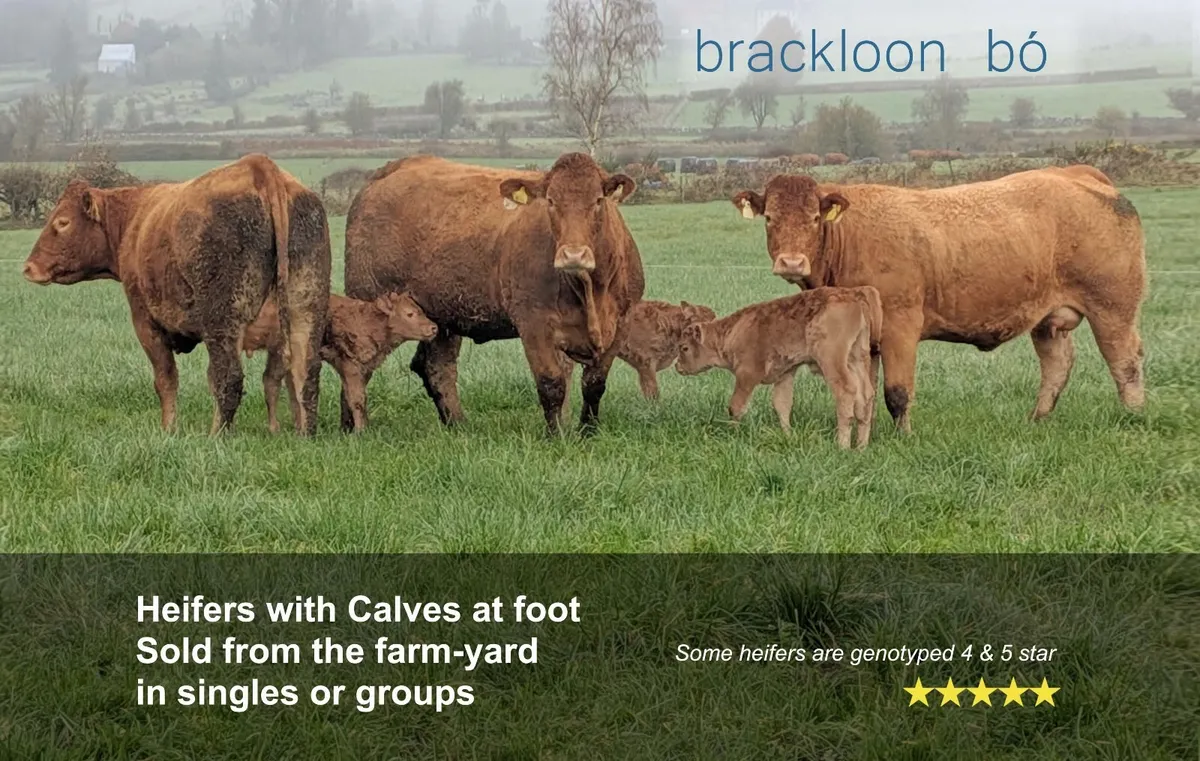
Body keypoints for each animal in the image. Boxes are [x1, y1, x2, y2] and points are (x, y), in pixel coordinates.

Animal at [22, 154, 332, 435]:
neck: (134, 221)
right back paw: (304, 434)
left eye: (62, 222)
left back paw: (216, 436)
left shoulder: (146, 323)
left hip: (224, 322)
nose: (28, 267)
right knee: (305, 373)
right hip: (304, 312)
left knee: (229, 377)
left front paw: (168, 429)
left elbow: (166, 379)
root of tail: (260, 167)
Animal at [243, 291, 437, 433]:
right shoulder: (350, 365)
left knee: (278, 383)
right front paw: (360, 432)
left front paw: (362, 427)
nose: (434, 328)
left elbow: (354, 396)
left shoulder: (359, 369)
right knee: (274, 382)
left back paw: (290, 427)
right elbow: (357, 399)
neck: (369, 320)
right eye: (409, 314)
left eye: (421, 310)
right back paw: (277, 428)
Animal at [343, 152, 645, 435]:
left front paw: (588, 432)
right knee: (356, 368)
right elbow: (551, 384)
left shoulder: (621, 323)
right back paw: (349, 428)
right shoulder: (534, 324)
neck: (589, 290)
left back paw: (458, 425)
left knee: (437, 367)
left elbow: (594, 384)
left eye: (598, 201)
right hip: (366, 304)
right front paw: (556, 436)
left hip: (440, 318)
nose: (573, 254)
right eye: (550, 201)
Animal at [675, 286, 882, 449]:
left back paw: (842, 445)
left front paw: (732, 432)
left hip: (832, 361)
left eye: (684, 347)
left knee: (846, 391)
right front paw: (788, 435)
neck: (732, 331)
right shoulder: (785, 373)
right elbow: (782, 405)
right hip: (857, 358)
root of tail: (854, 294)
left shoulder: (746, 374)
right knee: (865, 395)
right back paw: (861, 446)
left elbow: (736, 406)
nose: (677, 366)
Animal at [731, 165, 1147, 432]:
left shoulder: (900, 327)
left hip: (1113, 309)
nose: (791, 262)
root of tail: (1079, 174)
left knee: (1125, 362)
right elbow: (865, 392)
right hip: (1048, 320)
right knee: (1058, 364)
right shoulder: (868, 339)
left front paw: (903, 438)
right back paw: (1037, 420)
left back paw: (1134, 417)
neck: (850, 237)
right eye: (769, 218)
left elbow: (897, 393)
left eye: (815, 219)